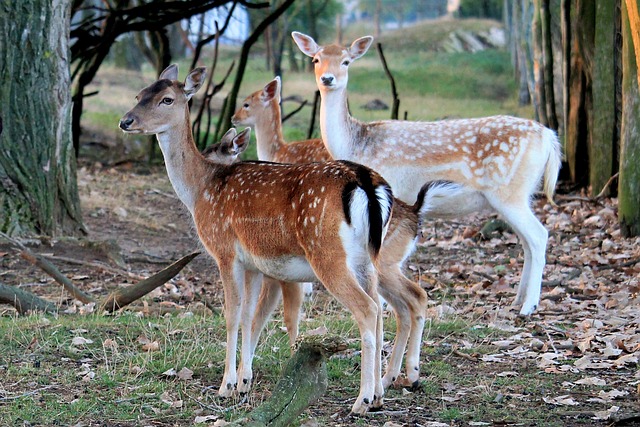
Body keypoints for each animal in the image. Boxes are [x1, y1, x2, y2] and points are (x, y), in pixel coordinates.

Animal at [117, 64, 396, 414]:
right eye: (140, 95)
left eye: (166, 99)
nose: (126, 121)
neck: (200, 190)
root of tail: (367, 184)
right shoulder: (251, 263)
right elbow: (250, 316)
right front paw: (244, 383)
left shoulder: (224, 250)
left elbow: (231, 315)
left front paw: (226, 386)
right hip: (367, 257)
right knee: (381, 308)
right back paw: (379, 397)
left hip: (327, 252)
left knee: (368, 309)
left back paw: (362, 400)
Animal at [232, 75, 438, 390]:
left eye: (246, 103)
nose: (233, 117)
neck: (279, 150)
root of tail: (415, 215)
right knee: (403, 303)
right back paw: (396, 377)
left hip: (379, 263)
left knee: (408, 299)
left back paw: (401, 376)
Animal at [292, 30, 564, 318]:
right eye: (316, 59)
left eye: (346, 61)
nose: (327, 78)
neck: (356, 143)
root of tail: (549, 137)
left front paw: (385, 304)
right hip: (521, 193)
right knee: (526, 241)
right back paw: (517, 299)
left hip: (509, 192)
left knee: (538, 235)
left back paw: (529, 306)